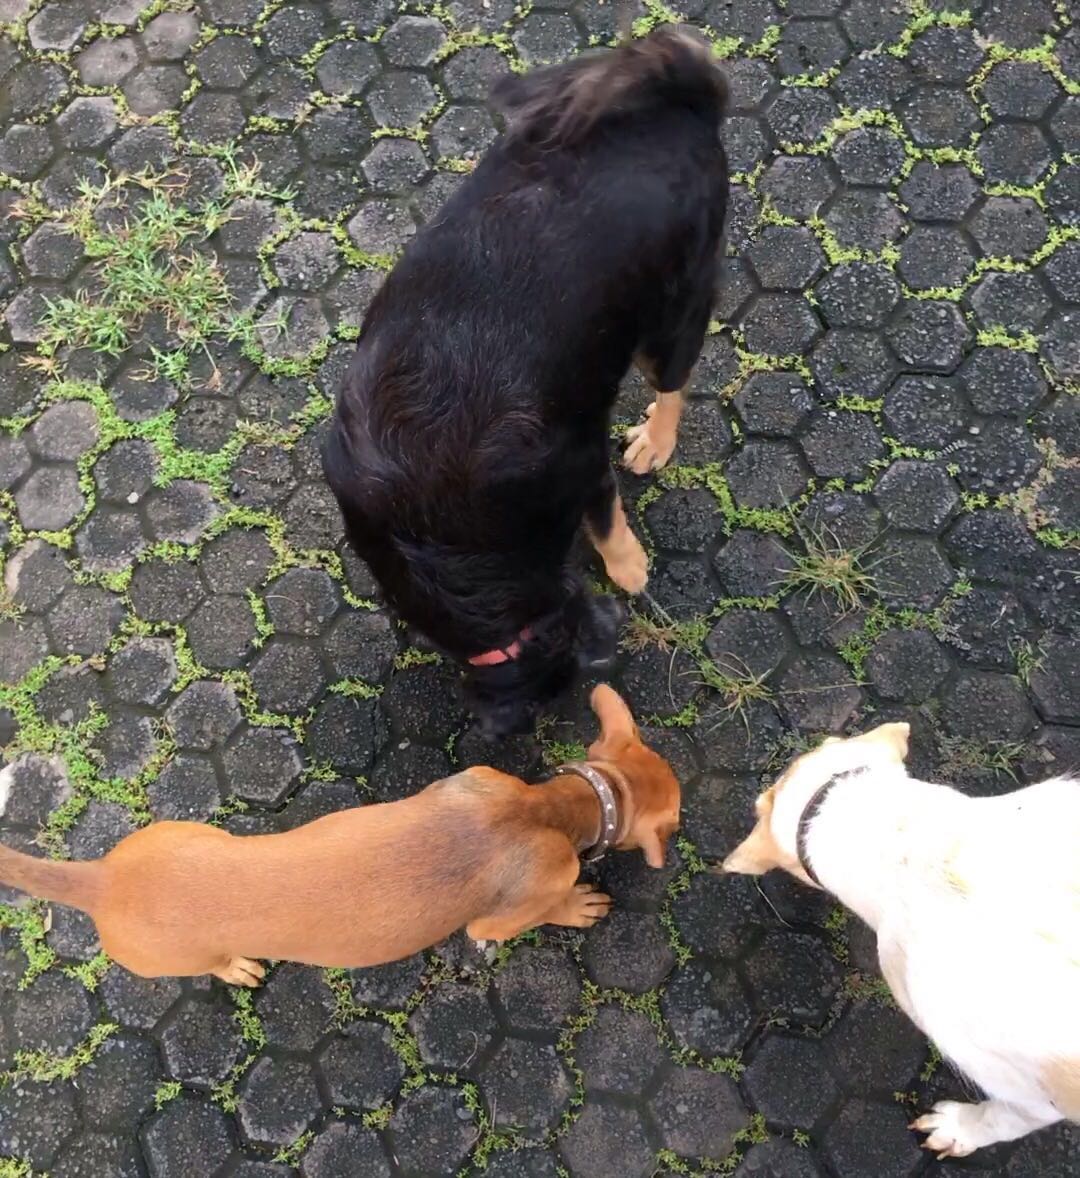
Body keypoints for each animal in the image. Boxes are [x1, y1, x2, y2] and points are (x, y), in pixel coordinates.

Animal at [0, 687, 678, 980]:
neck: (551, 809)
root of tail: (102, 880)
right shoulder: (506, 914)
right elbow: (540, 910)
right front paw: (577, 907)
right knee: (215, 966)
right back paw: (237, 968)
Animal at [320, 25, 725, 735]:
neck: (431, 536)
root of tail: (678, 99)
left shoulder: (581, 461)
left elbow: (605, 523)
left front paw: (628, 566)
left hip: (669, 318)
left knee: (675, 379)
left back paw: (656, 438)